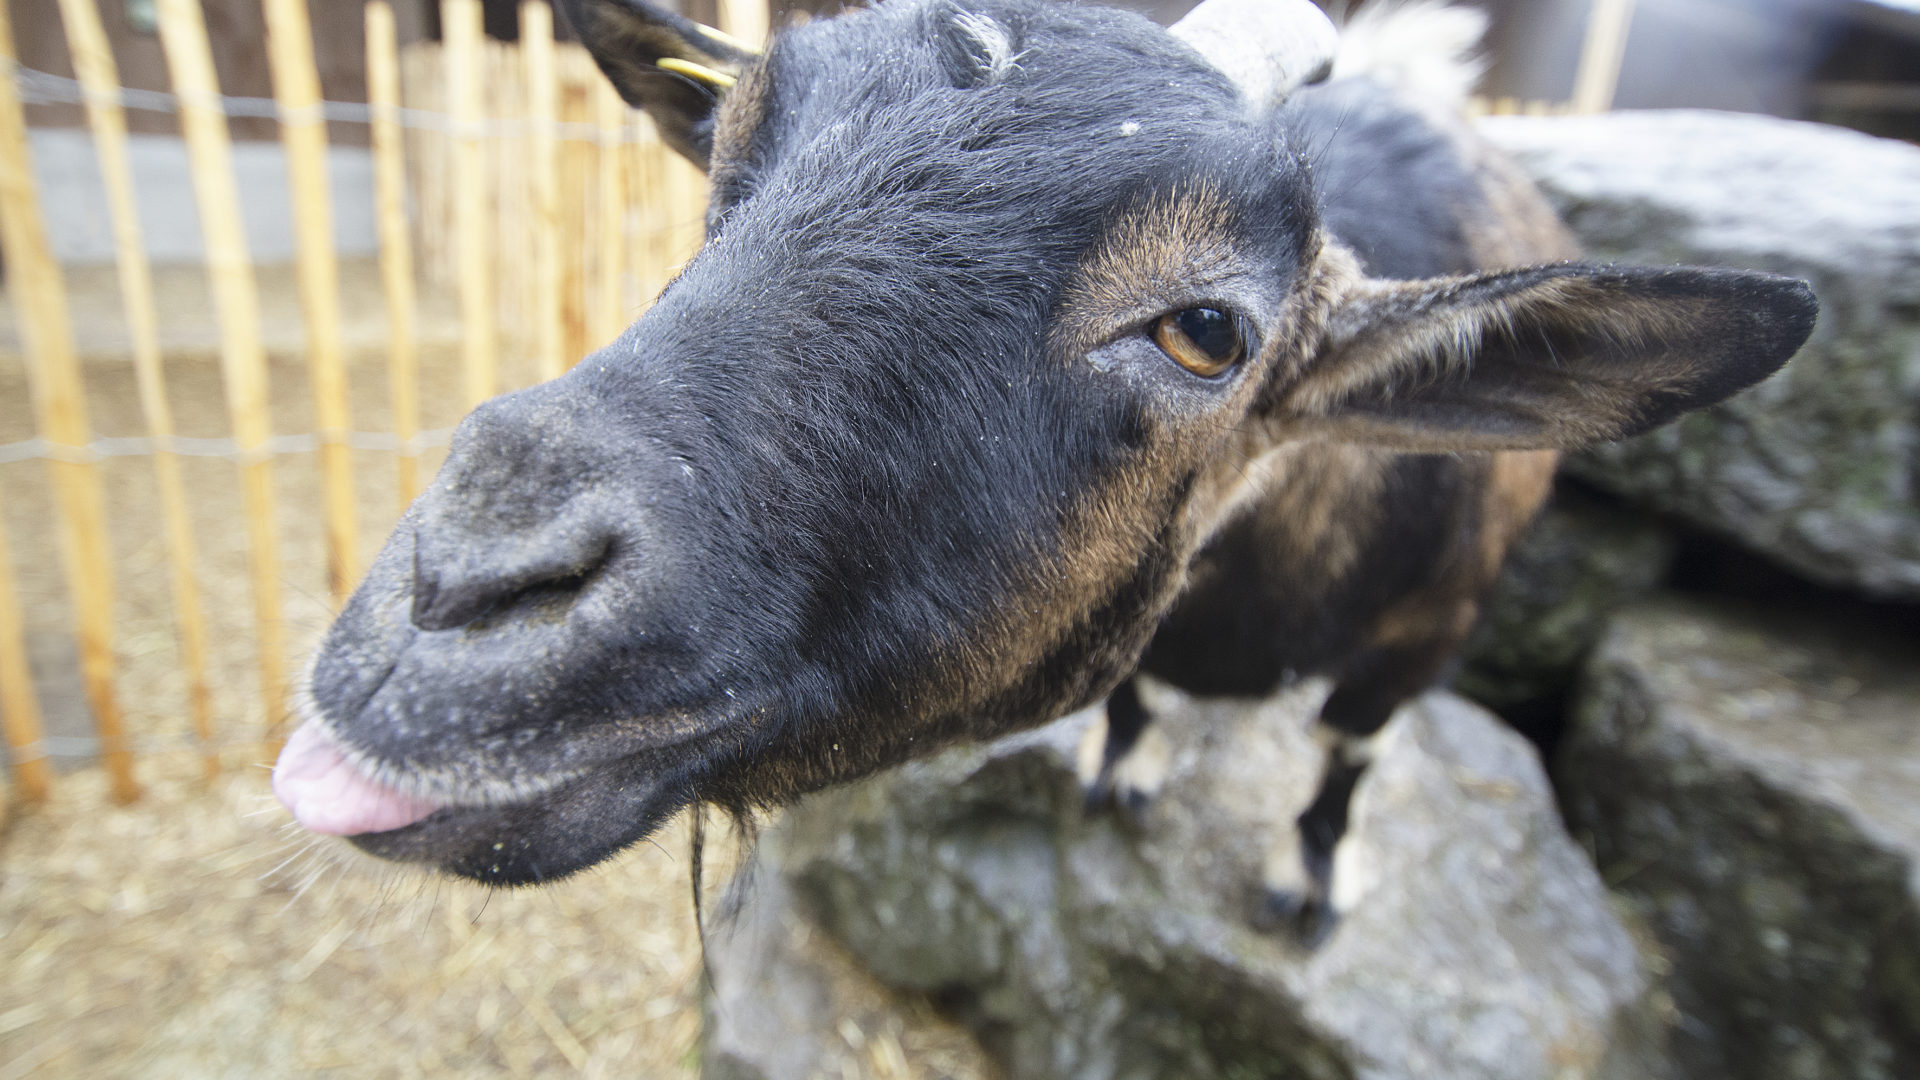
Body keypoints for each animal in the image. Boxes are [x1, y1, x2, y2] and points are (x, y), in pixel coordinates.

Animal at [270, 0, 1812, 933]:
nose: (454, 599)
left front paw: (1308, 881)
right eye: (728, 158)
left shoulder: (1427, 631)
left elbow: (1348, 753)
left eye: (1208, 331)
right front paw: (1123, 772)